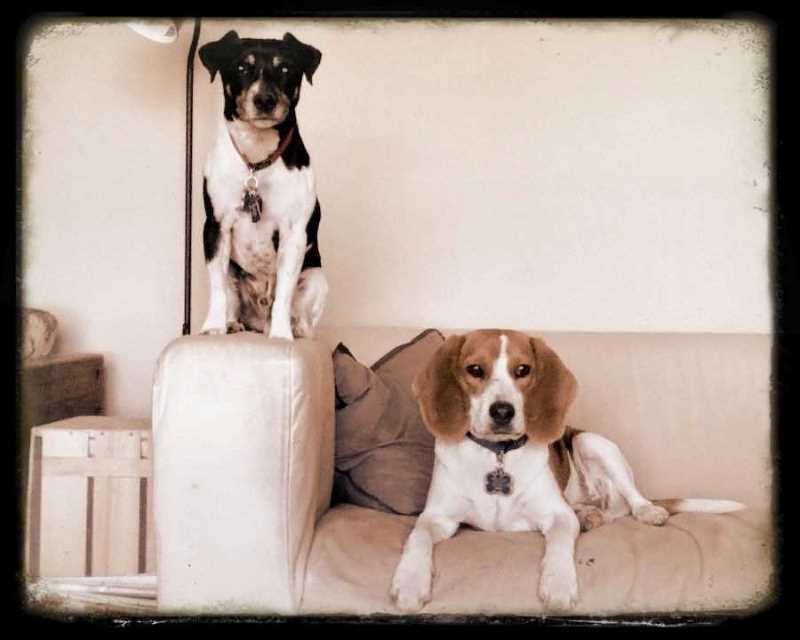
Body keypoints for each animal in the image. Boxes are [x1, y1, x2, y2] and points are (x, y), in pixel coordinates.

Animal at [198, 31, 326, 340]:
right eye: (242, 67)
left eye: (286, 69)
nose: (265, 100)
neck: (256, 160)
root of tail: (257, 322)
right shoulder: (215, 227)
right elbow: (217, 289)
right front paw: (213, 326)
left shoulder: (294, 233)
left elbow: (284, 294)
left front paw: (281, 335)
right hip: (234, 271)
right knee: (231, 296)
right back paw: (232, 323)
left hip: (316, 277)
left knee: (298, 314)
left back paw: (294, 329)